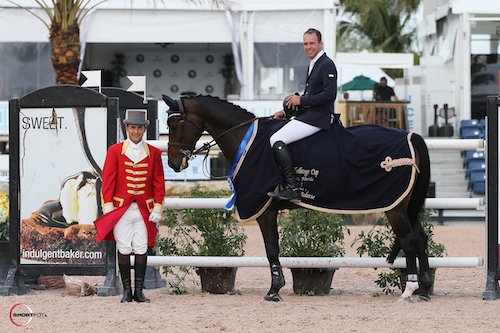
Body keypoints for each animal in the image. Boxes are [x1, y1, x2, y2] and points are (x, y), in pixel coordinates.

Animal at [163, 93, 434, 300]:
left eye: (174, 126)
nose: (174, 163)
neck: (246, 140)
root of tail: (410, 137)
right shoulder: (269, 210)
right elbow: (274, 248)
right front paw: (276, 287)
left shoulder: (263, 209)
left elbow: (271, 248)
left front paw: (274, 290)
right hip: (405, 206)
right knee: (420, 238)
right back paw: (425, 288)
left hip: (395, 208)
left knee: (409, 240)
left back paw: (409, 289)